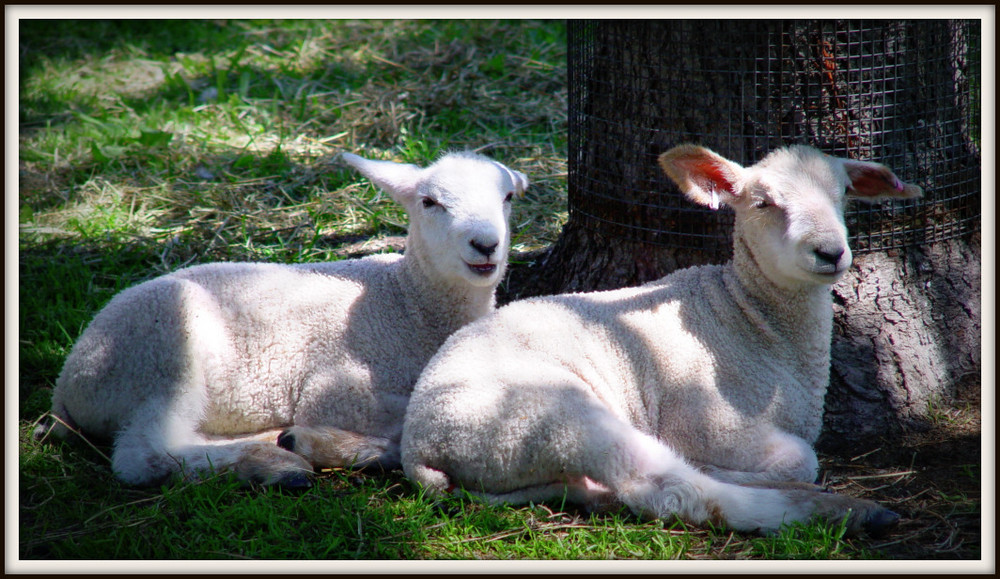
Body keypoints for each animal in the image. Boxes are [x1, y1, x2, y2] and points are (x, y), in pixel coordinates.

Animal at [35, 150, 528, 490]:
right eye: (429, 202)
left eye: (507, 197)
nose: (486, 244)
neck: (406, 301)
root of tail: (66, 385)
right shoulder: (337, 389)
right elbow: (407, 419)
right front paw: (342, 443)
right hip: (160, 350)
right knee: (143, 455)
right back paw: (271, 464)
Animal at [396, 146, 920, 540]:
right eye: (763, 204)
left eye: (844, 194)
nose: (830, 252)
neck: (751, 320)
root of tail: (419, 447)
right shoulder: (706, 422)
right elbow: (801, 457)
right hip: (548, 415)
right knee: (666, 488)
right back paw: (844, 512)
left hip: (525, 456)